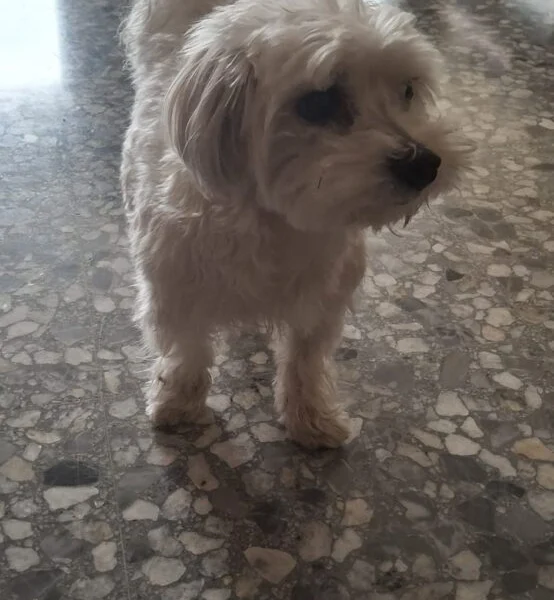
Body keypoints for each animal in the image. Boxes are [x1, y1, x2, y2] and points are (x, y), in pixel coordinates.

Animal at [121, 0, 469, 449]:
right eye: (319, 103)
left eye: (407, 90)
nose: (423, 163)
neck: (273, 221)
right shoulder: (174, 287)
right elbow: (187, 348)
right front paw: (179, 401)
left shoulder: (323, 299)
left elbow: (305, 358)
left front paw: (310, 416)